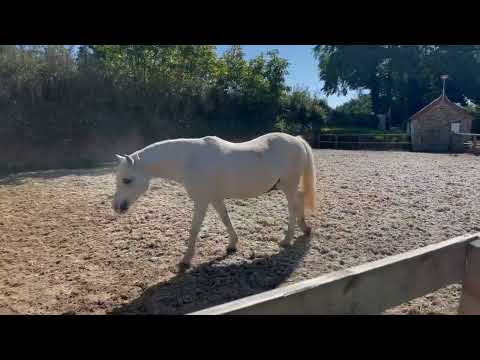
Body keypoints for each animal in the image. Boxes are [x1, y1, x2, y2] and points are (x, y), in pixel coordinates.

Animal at [111, 133, 316, 270]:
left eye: (127, 180)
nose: (117, 207)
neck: (190, 160)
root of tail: (296, 139)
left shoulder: (202, 201)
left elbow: (194, 229)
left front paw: (186, 260)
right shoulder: (215, 198)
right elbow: (225, 219)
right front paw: (232, 244)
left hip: (288, 186)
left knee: (292, 208)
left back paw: (287, 240)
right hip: (284, 186)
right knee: (300, 199)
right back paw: (305, 229)